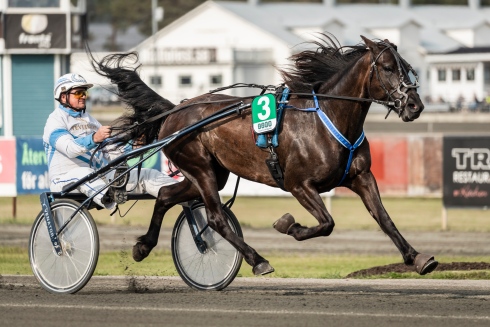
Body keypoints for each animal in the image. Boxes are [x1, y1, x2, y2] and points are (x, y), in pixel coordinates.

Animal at [90, 35, 438, 276]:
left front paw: (418, 257)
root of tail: (177, 109)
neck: (328, 116)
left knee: (164, 196)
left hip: (211, 172)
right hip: (199, 167)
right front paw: (289, 225)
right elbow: (326, 223)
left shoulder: (361, 177)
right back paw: (257, 260)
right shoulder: (299, 184)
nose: (415, 105)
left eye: (408, 68)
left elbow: (384, 218)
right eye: (388, 68)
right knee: (216, 218)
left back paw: (143, 246)